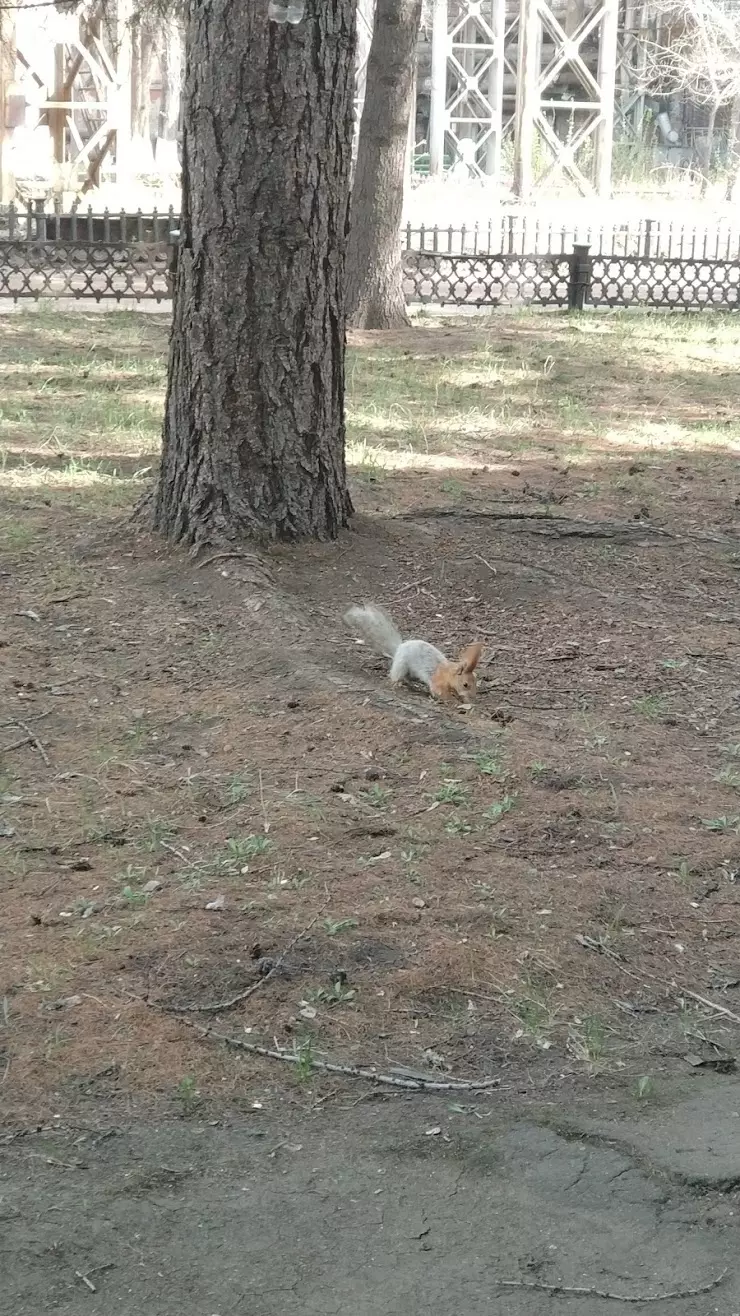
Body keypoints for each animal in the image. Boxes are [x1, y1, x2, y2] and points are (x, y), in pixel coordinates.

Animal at [342, 602, 481, 705]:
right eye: (465, 684)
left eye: (476, 681)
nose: (473, 698)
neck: (448, 674)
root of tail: (399, 648)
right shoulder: (437, 681)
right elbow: (440, 693)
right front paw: (454, 701)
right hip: (401, 665)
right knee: (395, 676)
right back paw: (399, 684)